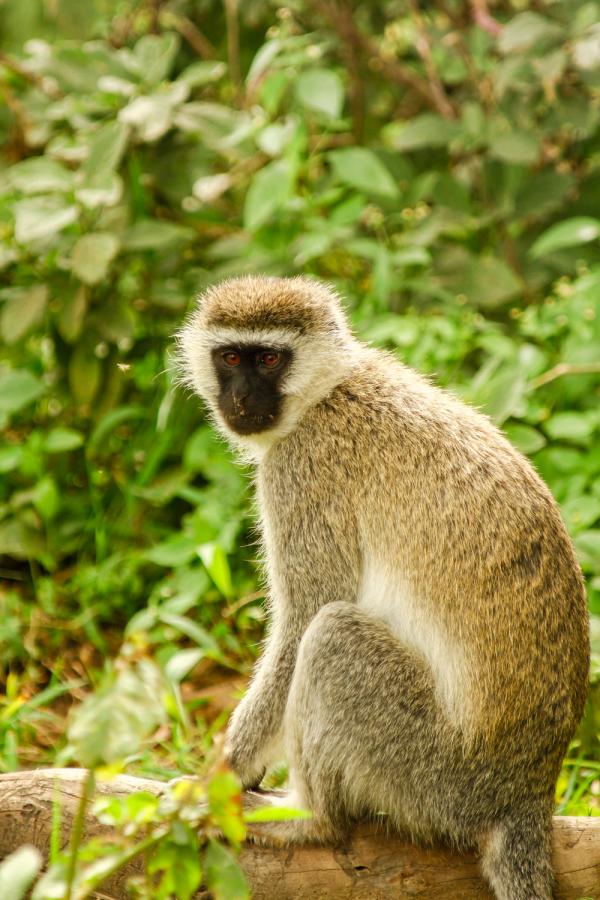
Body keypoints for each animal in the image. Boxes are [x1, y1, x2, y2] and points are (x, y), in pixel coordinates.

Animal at [176, 275, 589, 900]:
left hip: (433, 771)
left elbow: (303, 619)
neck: (328, 392)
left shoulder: (302, 469)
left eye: (269, 358)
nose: (242, 400)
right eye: (230, 357)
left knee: (332, 637)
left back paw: (313, 820)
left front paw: (220, 779)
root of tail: (525, 793)